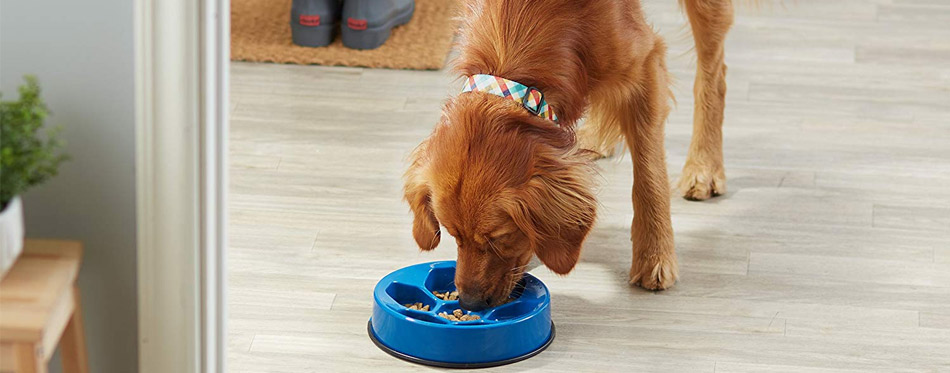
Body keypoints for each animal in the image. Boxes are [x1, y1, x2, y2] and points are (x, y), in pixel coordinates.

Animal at [406, 0, 732, 310]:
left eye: (499, 237)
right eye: (453, 234)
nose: (469, 303)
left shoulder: (645, 63)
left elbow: (649, 178)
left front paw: (654, 255)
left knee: (714, 74)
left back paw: (704, 167)